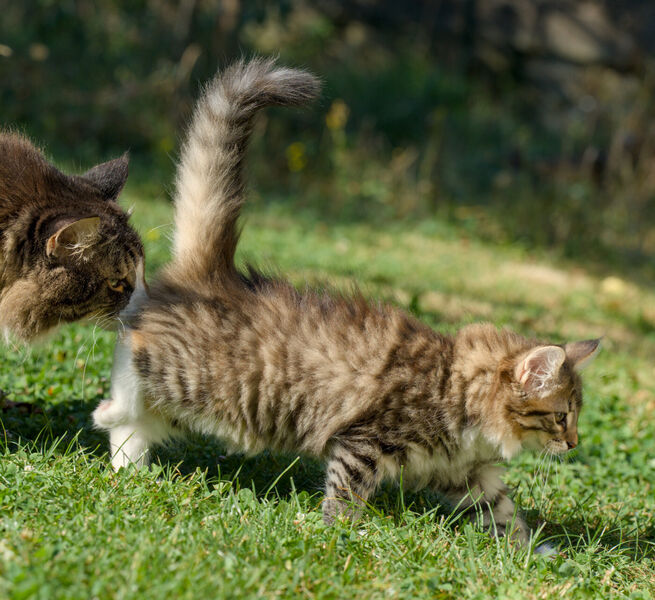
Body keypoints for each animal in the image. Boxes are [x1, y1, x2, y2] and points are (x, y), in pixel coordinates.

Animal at [92, 59, 600, 544]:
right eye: (561, 417)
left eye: (573, 418)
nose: (574, 444)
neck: (453, 386)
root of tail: (212, 270)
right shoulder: (366, 442)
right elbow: (346, 491)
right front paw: (340, 531)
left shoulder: (463, 470)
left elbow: (502, 511)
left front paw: (531, 552)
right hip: (191, 377)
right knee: (129, 352)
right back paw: (108, 410)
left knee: (136, 427)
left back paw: (127, 466)